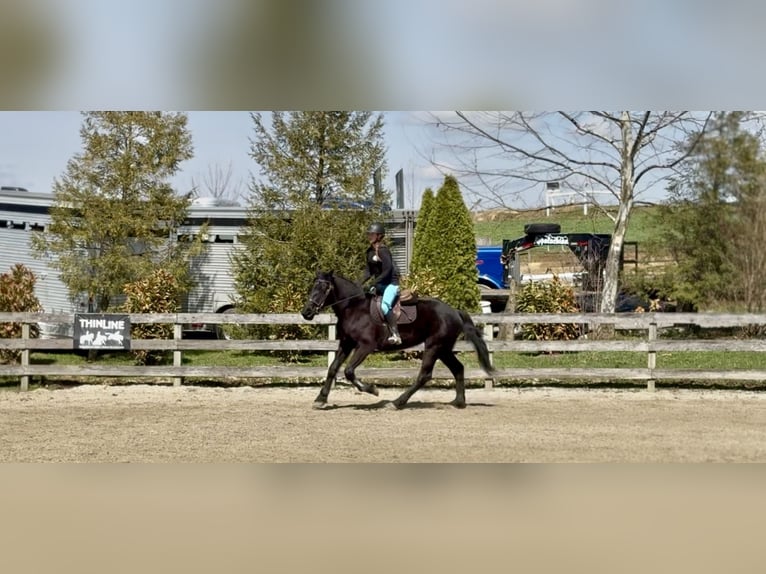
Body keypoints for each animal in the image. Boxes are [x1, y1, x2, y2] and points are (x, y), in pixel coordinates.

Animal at [300, 270, 495, 410]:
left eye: (324, 288)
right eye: (312, 287)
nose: (306, 312)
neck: (353, 308)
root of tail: (455, 311)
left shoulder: (365, 346)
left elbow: (348, 371)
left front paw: (373, 390)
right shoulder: (346, 344)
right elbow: (333, 369)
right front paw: (320, 399)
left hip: (434, 346)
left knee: (424, 375)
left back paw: (397, 402)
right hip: (443, 349)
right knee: (458, 368)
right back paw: (459, 402)